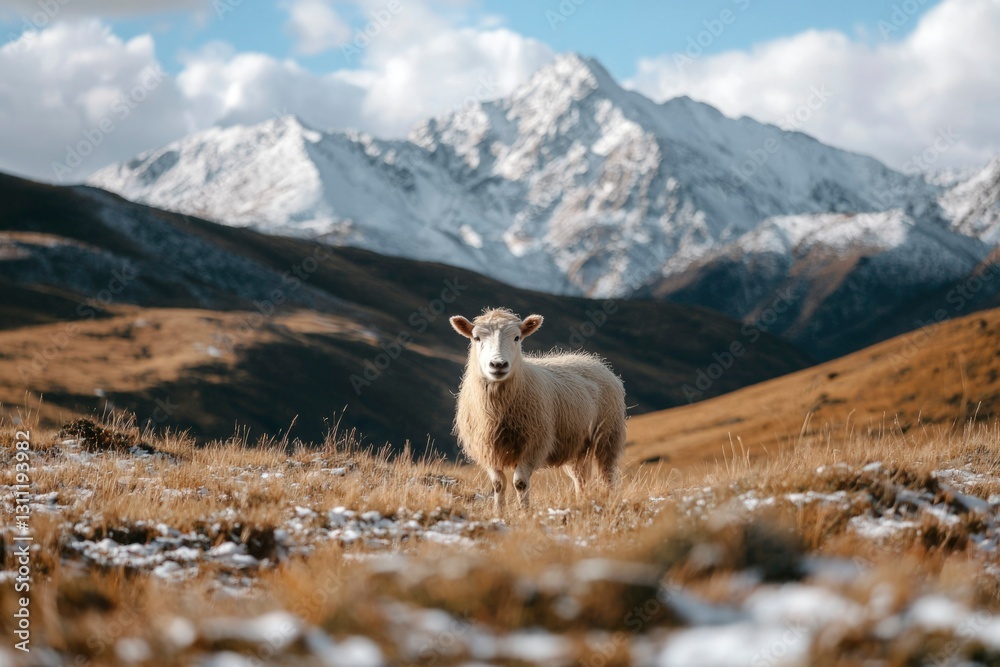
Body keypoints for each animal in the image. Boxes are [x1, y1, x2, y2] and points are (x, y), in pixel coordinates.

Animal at [449, 307, 627, 513]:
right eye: (477, 338)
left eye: (517, 337)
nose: (498, 365)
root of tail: (594, 361)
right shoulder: (488, 449)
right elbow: (498, 484)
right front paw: (499, 512)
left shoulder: (533, 445)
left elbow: (520, 483)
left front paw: (524, 512)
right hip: (578, 445)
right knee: (580, 478)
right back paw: (581, 502)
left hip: (607, 437)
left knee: (607, 475)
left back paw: (610, 500)